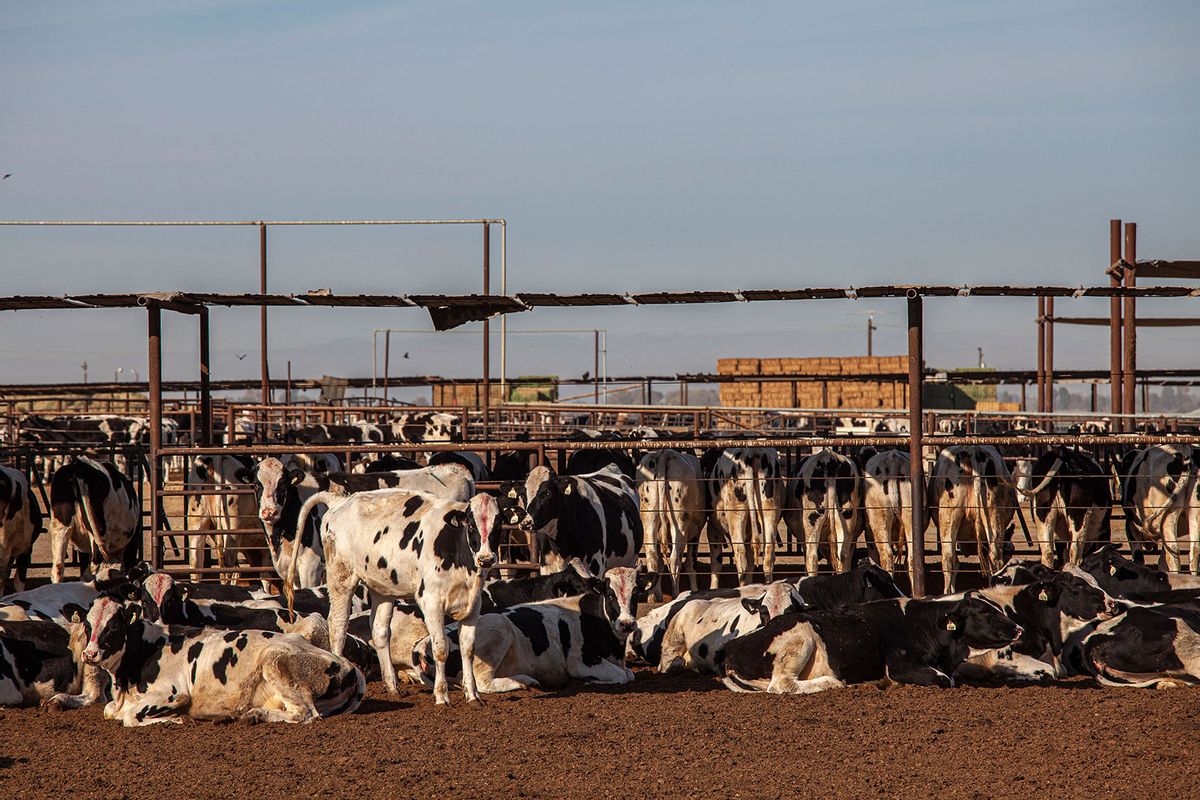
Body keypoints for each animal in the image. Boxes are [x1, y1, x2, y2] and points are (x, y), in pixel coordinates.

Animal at [715, 594, 1017, 695]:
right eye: (985, 612)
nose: (1018, 628)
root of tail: (731, 647)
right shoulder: (900, 665)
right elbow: (945, 680)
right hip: (799, 636)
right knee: (782, 685)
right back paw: (835, 683)